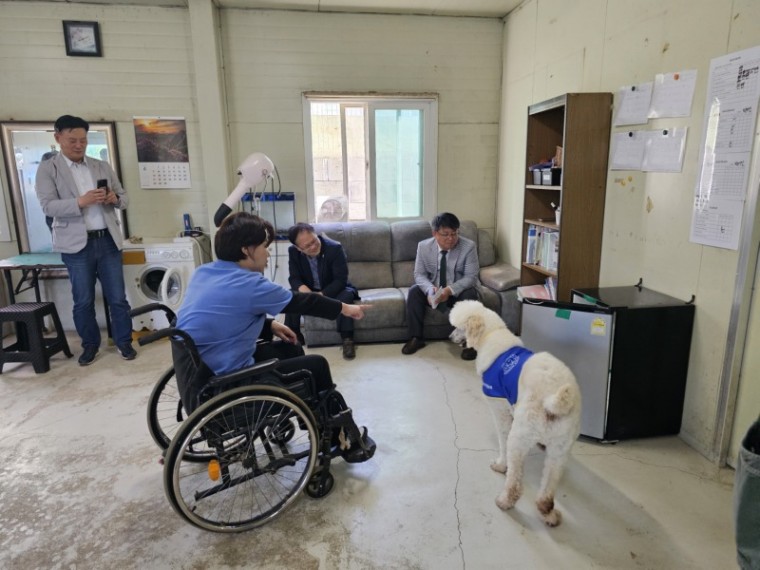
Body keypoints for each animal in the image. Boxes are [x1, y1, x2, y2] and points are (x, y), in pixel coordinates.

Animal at [448, 300, 580, 524]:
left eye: (458, 327)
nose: (450, 337)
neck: (492, 334)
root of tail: (556, 400)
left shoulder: (500, 410)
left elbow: (502, 440)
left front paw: (501, 464)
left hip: (520, 438)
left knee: (515, 483)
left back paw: (504, 501)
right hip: (560, 450)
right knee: (547, 493)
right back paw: (549, 514)